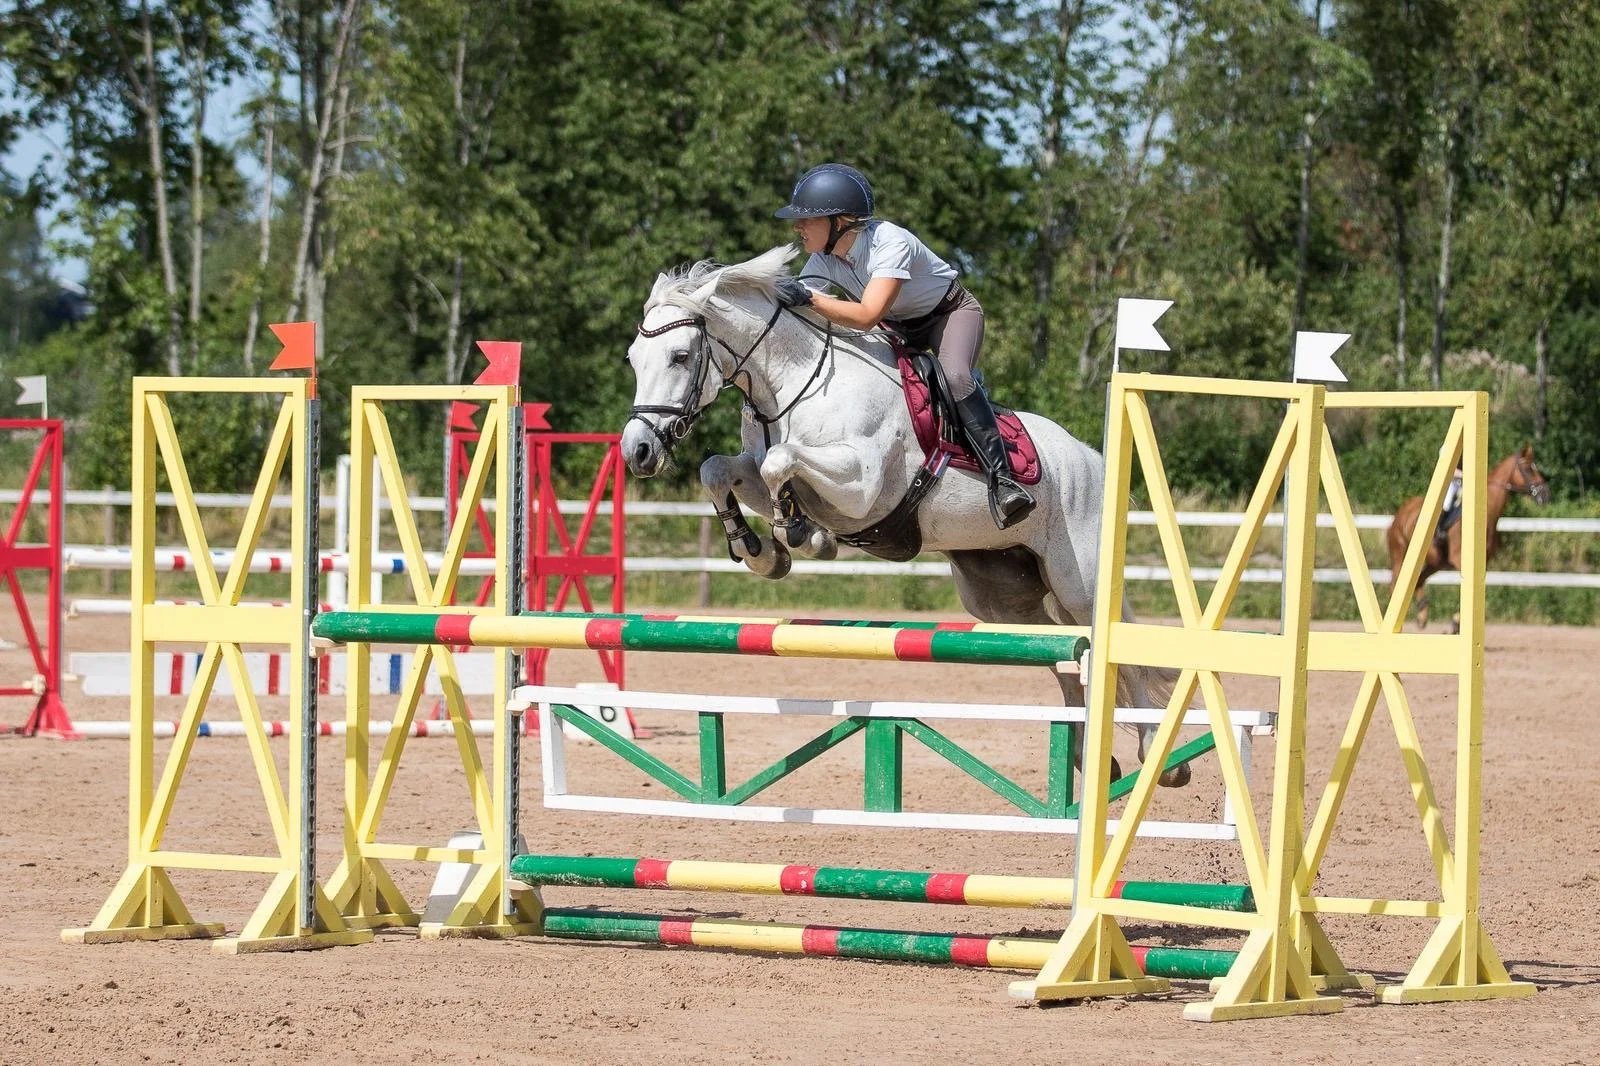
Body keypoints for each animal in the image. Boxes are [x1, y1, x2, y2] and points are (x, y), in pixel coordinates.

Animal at [620, 245, 1189, 788]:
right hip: (1001, 597)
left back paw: (1159, 759)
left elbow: (782, 462)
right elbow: (722, 468)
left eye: (679, 355)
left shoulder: (862, 485)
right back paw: (1087, 756)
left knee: (1113, 647)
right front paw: (761, 550)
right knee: (1061, 654)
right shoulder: (760, 472)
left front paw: (801, 534)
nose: (638, 452)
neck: (794, 381)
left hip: (1079, 582)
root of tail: (1092, 460)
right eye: (632, 358)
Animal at [1386, 445, 1550, 631]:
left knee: (1418, 581)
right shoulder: (1460, 560)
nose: (1546, 495)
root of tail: (1400, 514)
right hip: (1400, 555)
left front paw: (1455, 624)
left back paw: (1422, 615)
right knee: (1395, 586)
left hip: (1435, 563)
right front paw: (1454, 624)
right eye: (1528, 469)